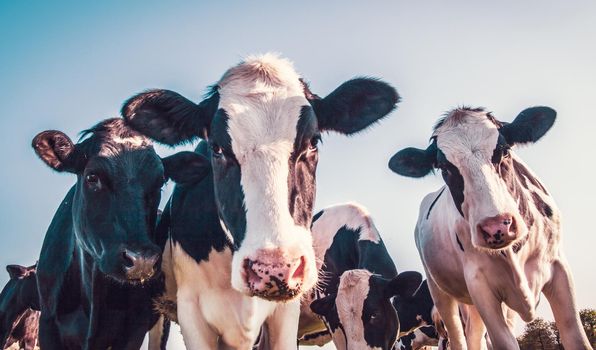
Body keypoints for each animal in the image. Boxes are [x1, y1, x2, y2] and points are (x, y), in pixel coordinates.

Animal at [386, 106, 592, 350]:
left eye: (504, 151)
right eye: (444, 167)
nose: (496, 227)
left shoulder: (559, 267)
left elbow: (576, 338)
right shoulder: (479, 286)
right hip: (442, 294)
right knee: (462, 338)